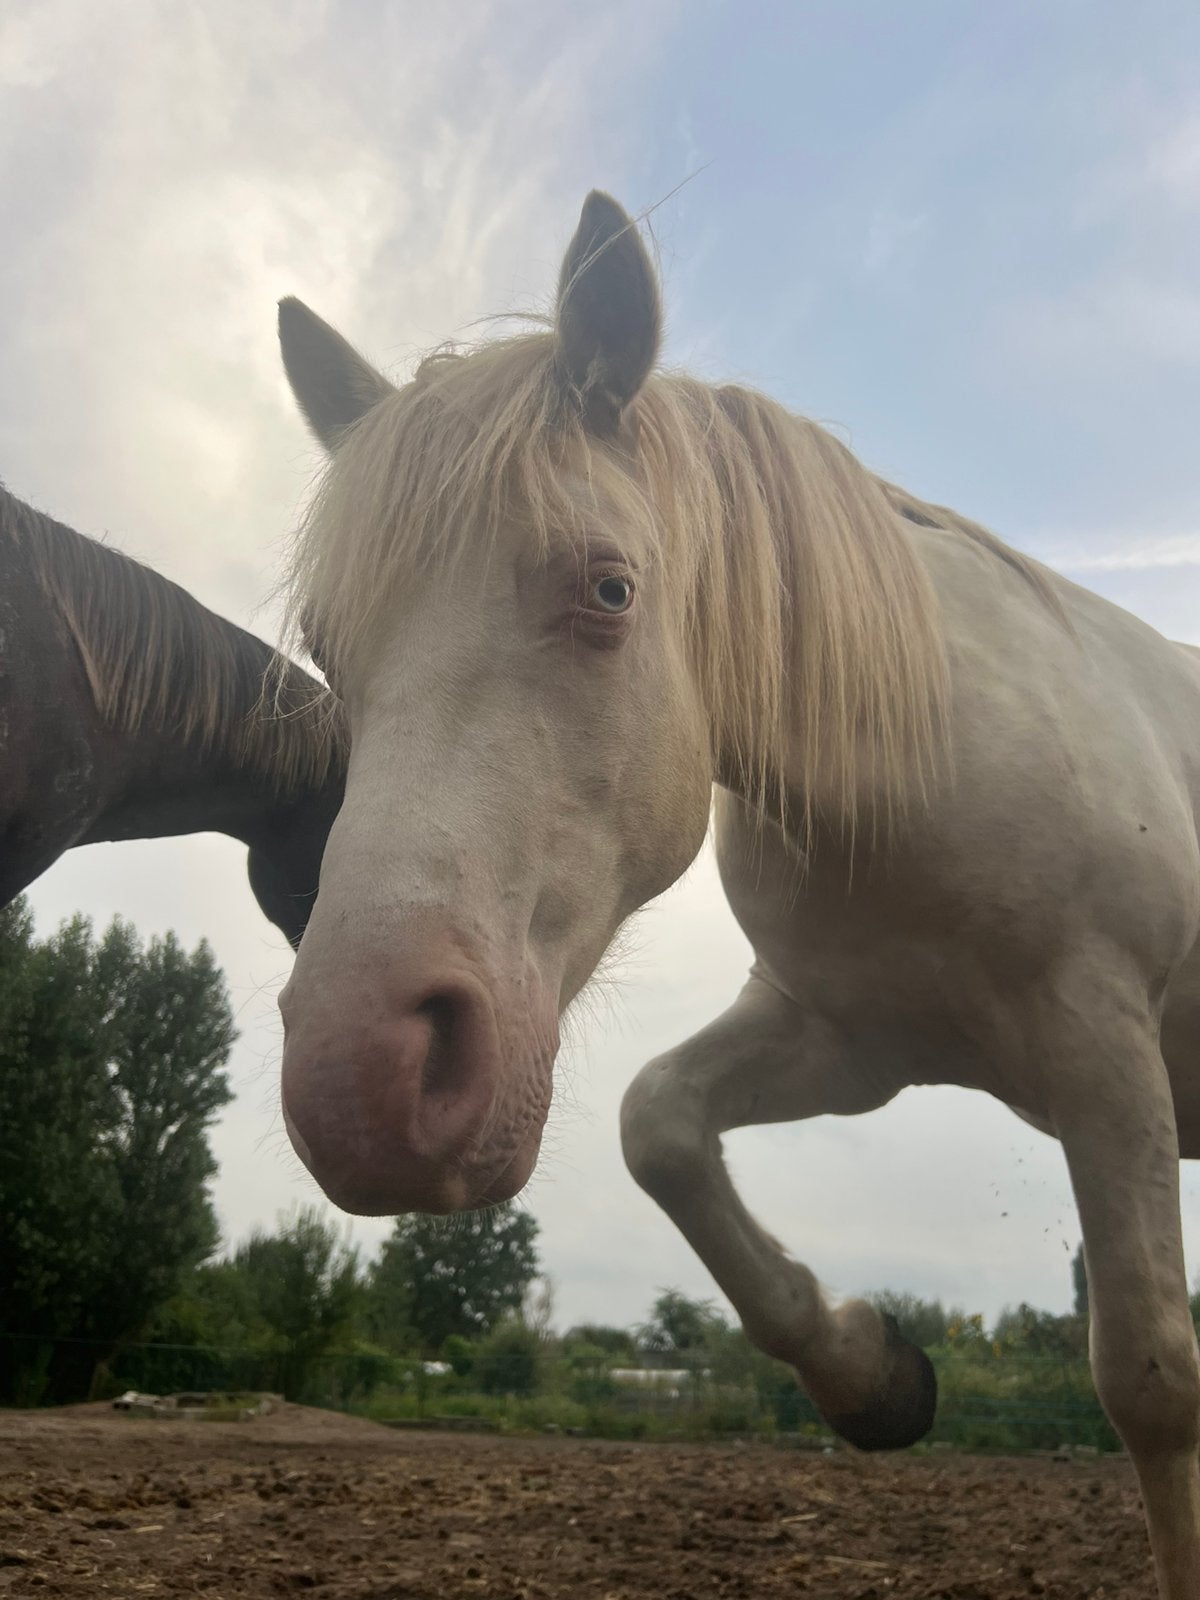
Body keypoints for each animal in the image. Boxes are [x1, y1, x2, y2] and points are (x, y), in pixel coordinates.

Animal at [273, 192, 1200, 1596]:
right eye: (331, 648)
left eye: (610, 588)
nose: (362, 1080)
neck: (933, 755)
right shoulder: (849, 1041)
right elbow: (659, 1125)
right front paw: (875, 1375)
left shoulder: (1105, 1046)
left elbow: (1151, 1375)